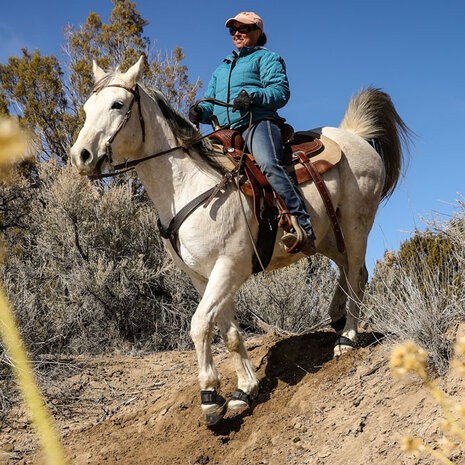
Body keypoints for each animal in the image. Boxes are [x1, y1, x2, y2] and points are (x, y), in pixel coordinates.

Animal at [70, 57, 410, 424]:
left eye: (118, 105)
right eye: (87, 108)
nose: (80, 156)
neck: (191, 185)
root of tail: (355, 137)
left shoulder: (229, 267)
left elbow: (200, 325)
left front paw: (209, 396)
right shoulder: (203, 276)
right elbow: (229, 332)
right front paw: (243, 389)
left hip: (355, 226)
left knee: (358, 275)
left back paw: (347, 339)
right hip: (329, 237)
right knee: (347, 270)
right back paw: (336, 317)